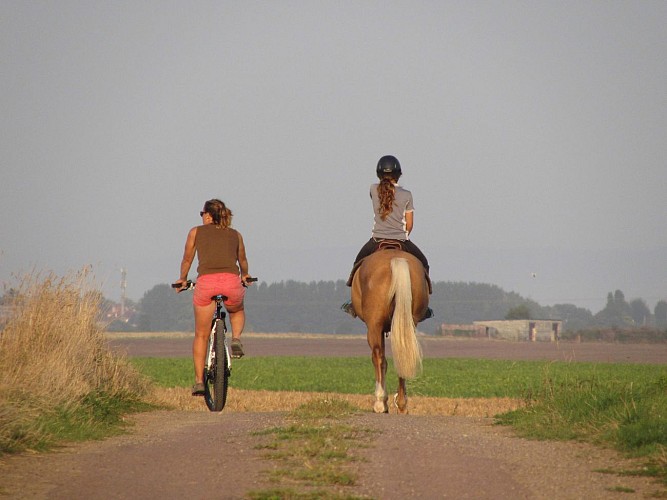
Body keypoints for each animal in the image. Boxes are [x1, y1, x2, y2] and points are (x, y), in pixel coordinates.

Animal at [352, 247, 430, 414]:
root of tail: (396, 260)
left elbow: (381, 361)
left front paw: (382, 401)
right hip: (408, 323)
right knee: (403, 354)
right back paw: (402, 403)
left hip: (374, 326)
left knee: (378, 356)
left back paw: (380, 402)